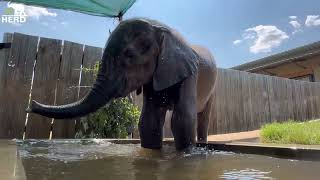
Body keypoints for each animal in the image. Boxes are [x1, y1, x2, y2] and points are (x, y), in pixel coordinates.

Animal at [27, 18, 218, 150]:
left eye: (130, 55)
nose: (31, 105)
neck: (165, 31)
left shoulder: (190, 75)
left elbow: (183, 119)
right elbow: (149, 121)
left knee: (203, 117)